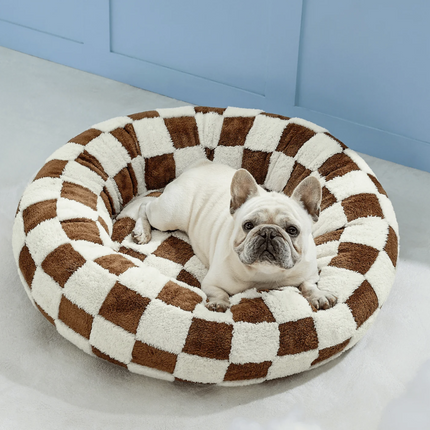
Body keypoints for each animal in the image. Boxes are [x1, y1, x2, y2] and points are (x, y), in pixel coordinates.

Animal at [131, 160, 336, 312]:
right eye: (248, 225)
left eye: (292, 230)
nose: (268, 232)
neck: (266, 273)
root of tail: (200, 164)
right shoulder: (212, 282)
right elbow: (218, 292)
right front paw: (219, 303)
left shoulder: (309, 274)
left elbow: (309, 285)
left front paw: (320, 295)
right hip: (167, 216)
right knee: (145, 206)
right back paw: (142, 232)